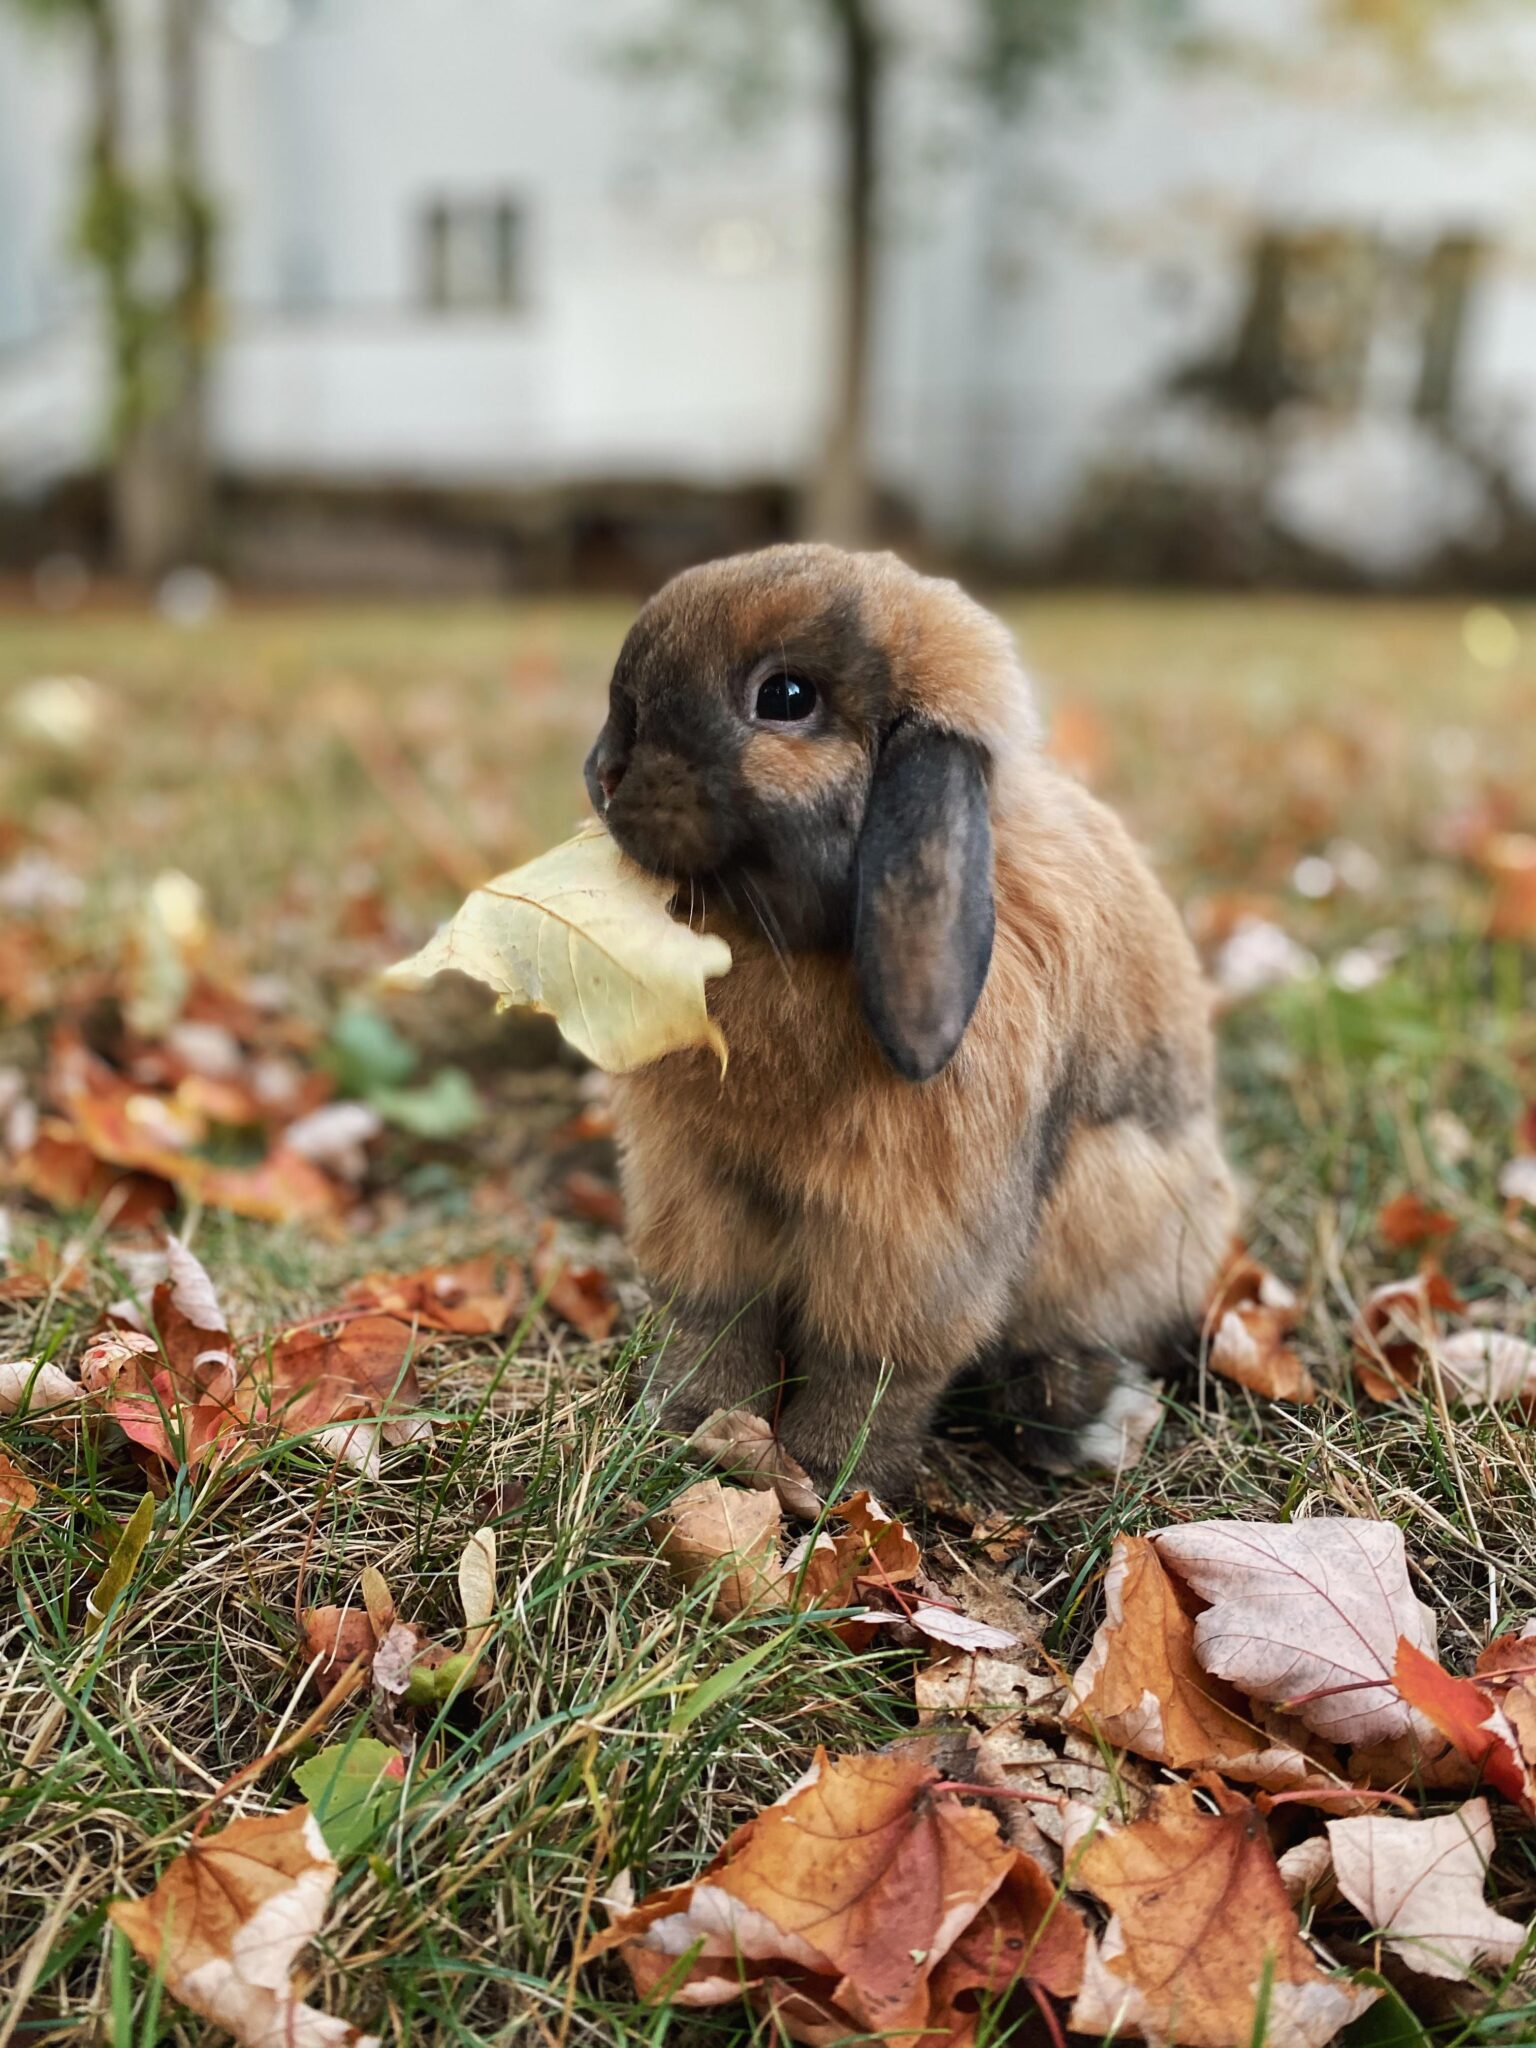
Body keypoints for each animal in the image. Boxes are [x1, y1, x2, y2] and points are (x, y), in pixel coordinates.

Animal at [581, 548, 1245, 1507]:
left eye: (785, 697)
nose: (602, 772)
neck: (784, 945)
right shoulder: (700, 1190)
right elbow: (714, 1318)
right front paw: (687, 1427)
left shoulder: (909, 1232)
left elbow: (873, 1366)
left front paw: (831, 1477)